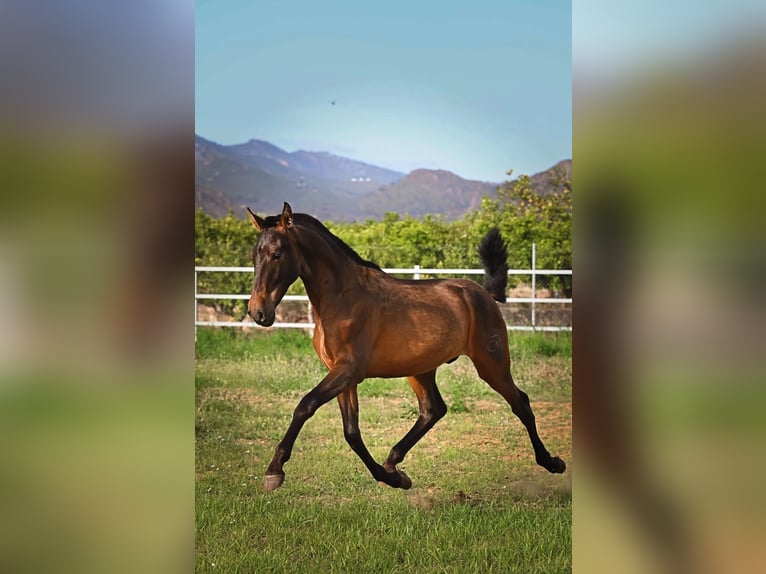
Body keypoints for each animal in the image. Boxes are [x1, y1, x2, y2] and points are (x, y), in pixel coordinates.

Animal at [246, 202, 566, 491]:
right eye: (253, 256)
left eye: (277, 254)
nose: (258, 312)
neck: (342, 298)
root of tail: (483, 293)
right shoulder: (342, 376)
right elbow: (351, 433)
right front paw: (394, 478)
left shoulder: (348, 371)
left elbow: (305, 405)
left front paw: (274, 471)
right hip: (421, 369)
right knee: (433, 409)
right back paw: (392, 462)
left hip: (492, 363)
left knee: (520, 402)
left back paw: (552, 462)